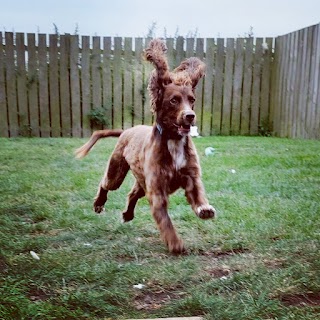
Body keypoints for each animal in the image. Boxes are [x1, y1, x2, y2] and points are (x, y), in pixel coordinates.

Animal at [75, 38, 215, 254]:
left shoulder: (191, 176)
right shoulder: (157, 191)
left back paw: (127, 214)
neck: (173, 141)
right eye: (174, 100)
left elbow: (198, 194)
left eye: (191, 100)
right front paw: (175, 243)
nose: (190, 116)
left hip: (141, 181)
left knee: (132, 193)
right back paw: (99, 204)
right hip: (117, 171)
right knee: (105, 184)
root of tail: (127, 130)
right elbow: (165, 220)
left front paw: (205, 209)